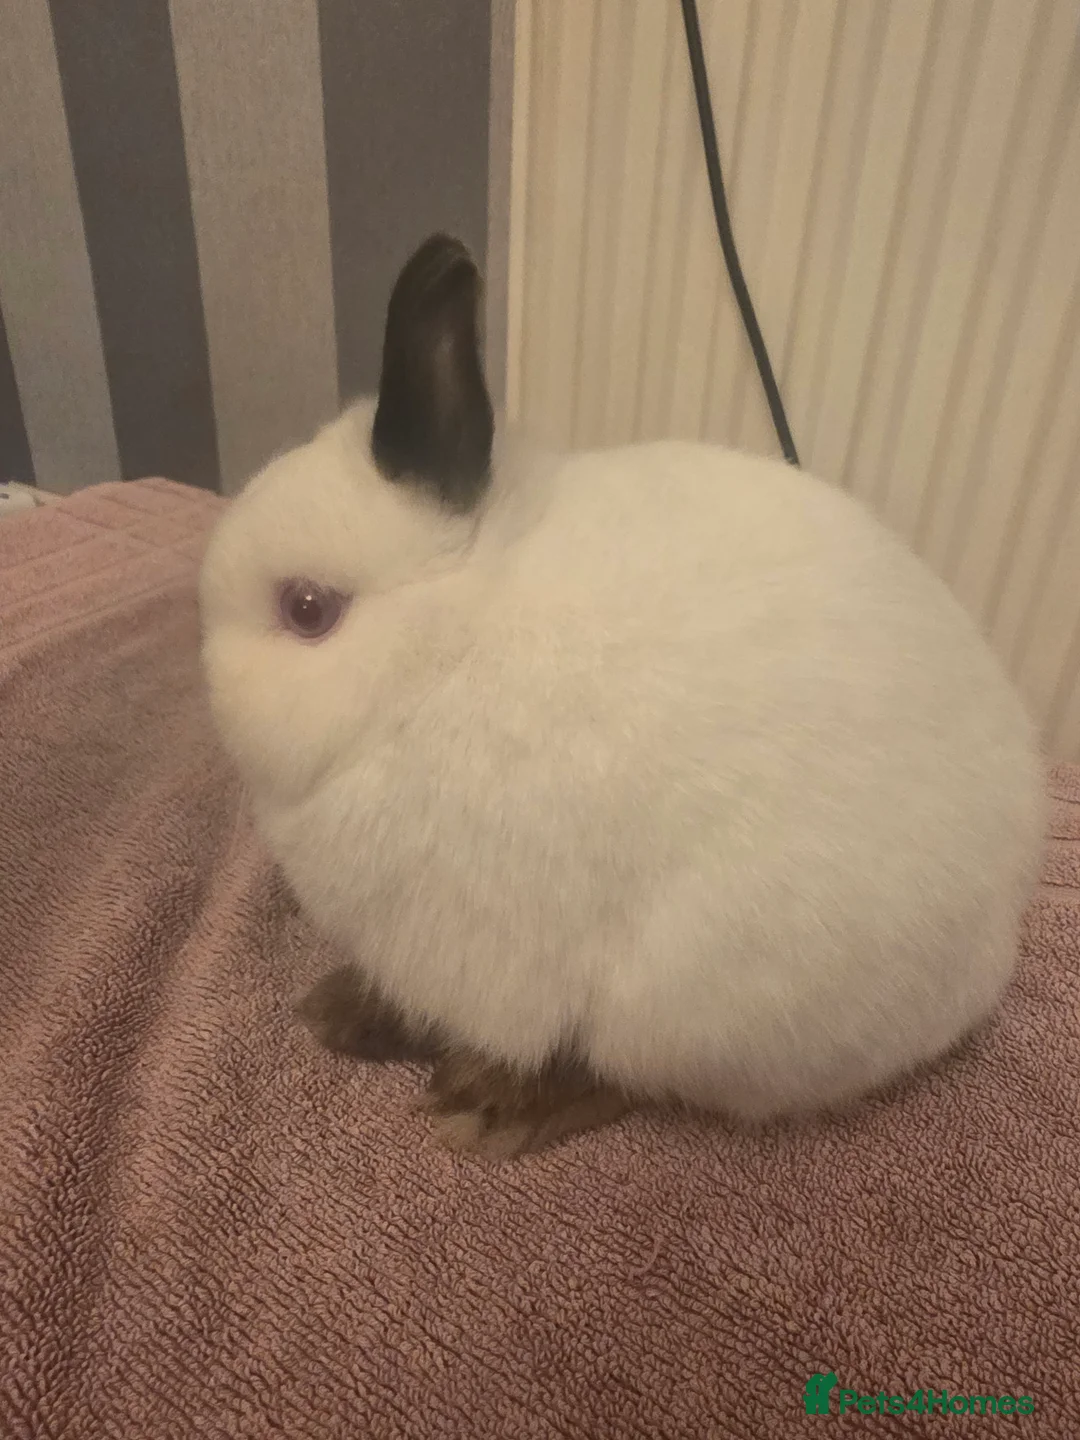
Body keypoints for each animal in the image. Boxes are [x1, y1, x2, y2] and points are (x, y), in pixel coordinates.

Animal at [199, 234, 1045, 1159]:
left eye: (307, 609)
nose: (205, 666)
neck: (438, 653)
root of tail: (988, 955)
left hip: (689, 1005)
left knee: (627, 1077)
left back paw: (488, 1106)